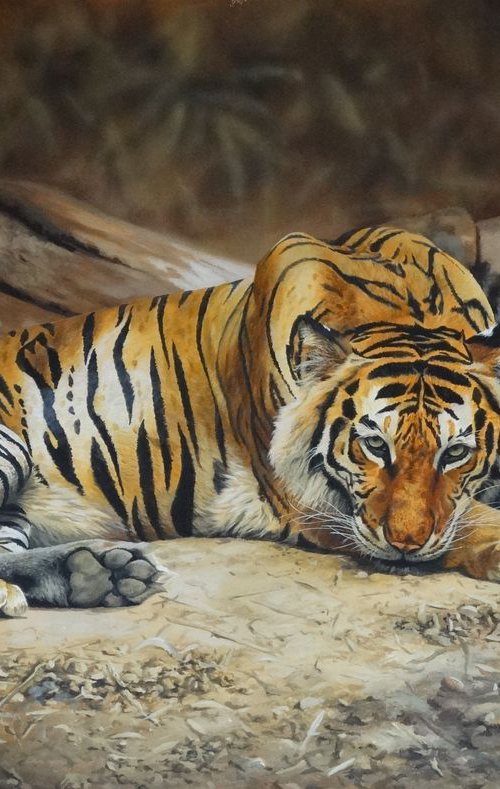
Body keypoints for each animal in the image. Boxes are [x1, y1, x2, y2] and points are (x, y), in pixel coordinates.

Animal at [1, 225, 500, 617]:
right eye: (375, 445)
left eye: (455, 452)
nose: (406, 544)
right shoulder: (312, 500)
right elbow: (475, 519)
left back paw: (99, 573)